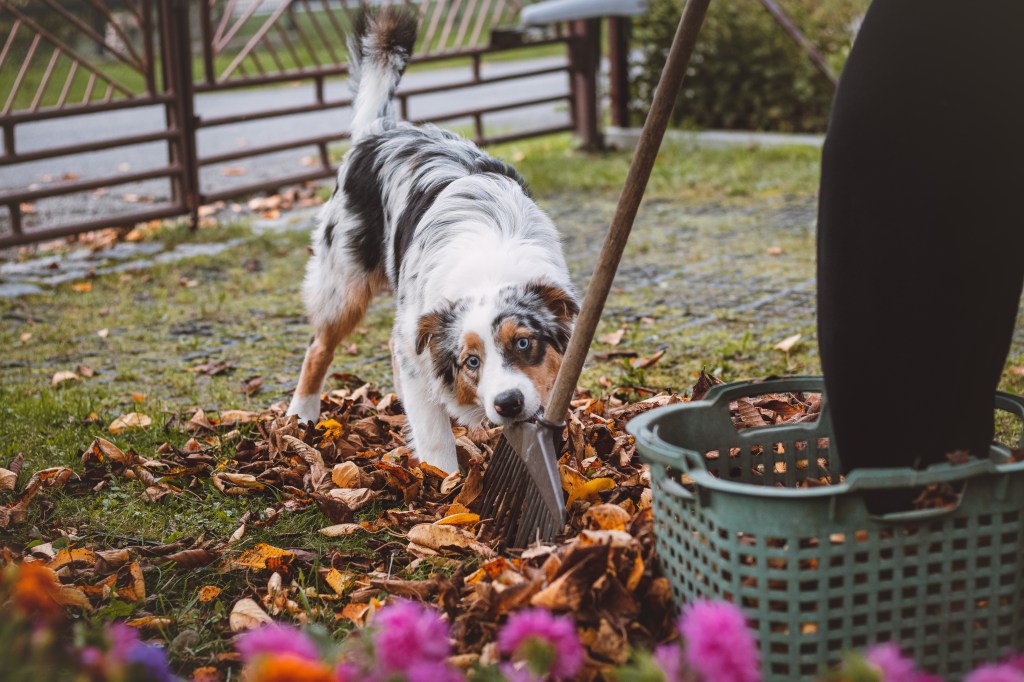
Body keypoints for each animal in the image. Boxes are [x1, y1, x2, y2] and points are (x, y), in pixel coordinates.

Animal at [284, 6, 581, 473]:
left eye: (524, 343)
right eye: (471, 360)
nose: (508, 403)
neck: (489, 265)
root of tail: (380, 128)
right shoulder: (415, 344)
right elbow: (435, 435)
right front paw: (445, 483)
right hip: (343, 282)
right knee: (319, 346)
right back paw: (302, 413)